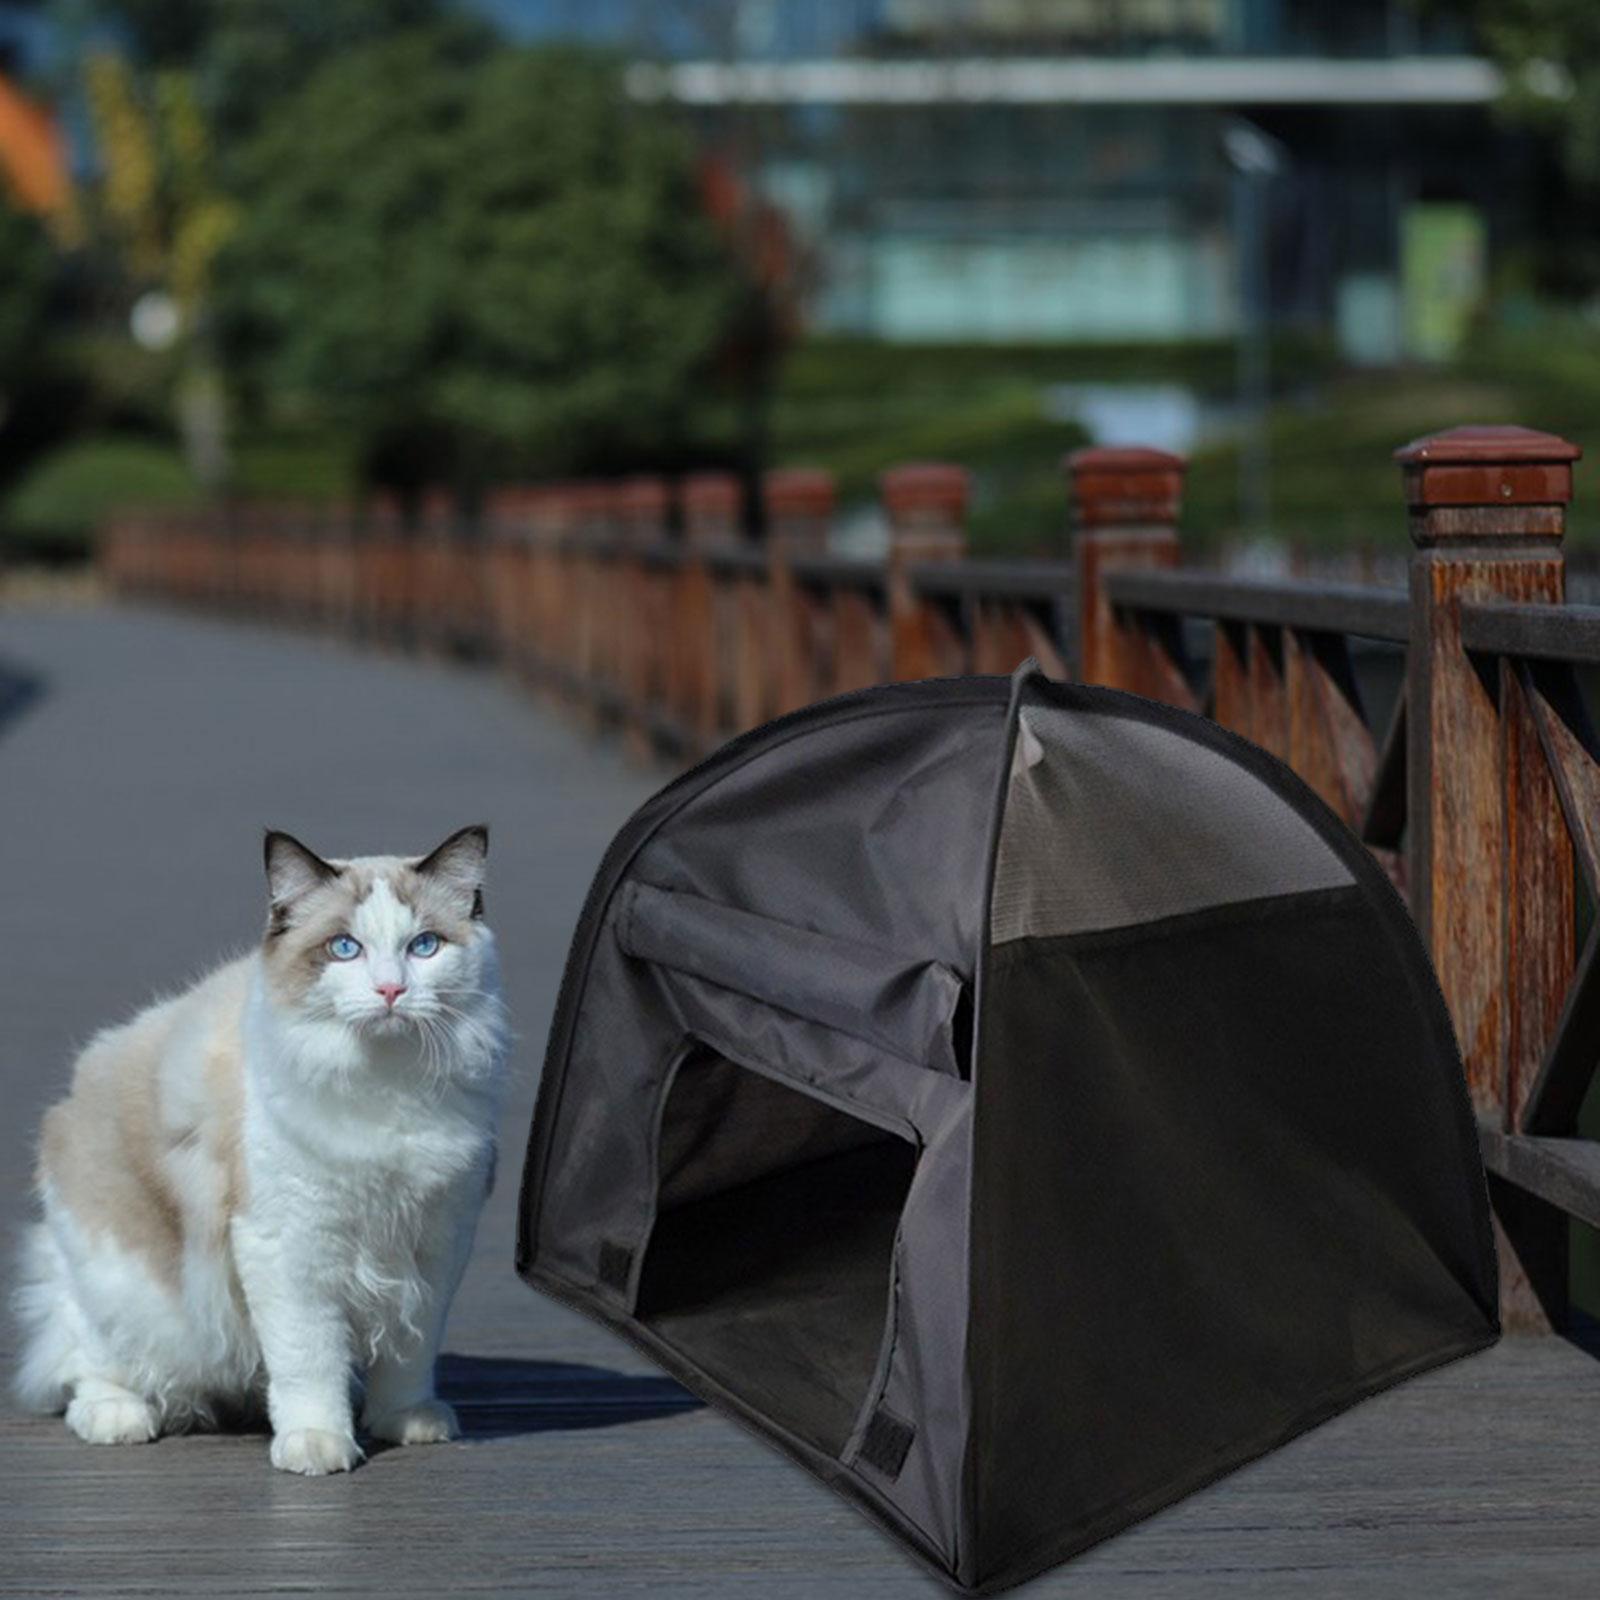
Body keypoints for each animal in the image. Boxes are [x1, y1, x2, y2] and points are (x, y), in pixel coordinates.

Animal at [7, 825, 505, 1472]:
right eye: (344, 948)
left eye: (424, 946)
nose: (391, 989)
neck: (387, 1085)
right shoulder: (290, 1248)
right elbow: (308, 1361)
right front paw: (317, 1444)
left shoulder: (435, 1245)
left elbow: (410, 1353)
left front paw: (406, 1423)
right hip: (122, 1288)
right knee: (85, 1364)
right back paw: (120, 1418)